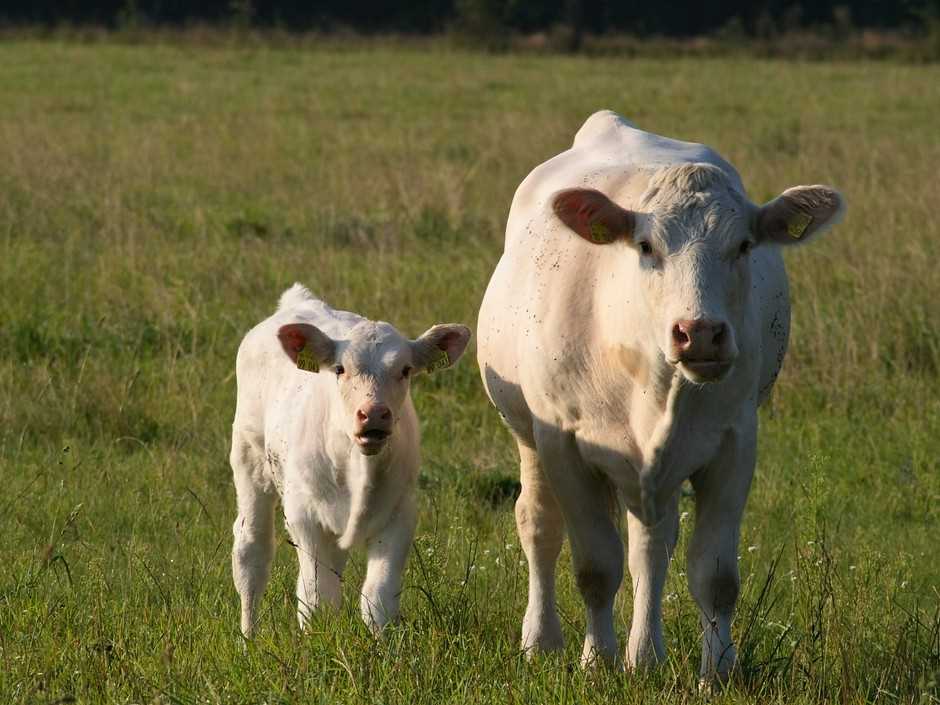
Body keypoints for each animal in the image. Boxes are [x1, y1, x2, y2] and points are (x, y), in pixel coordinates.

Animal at [230, 284, 470, 636]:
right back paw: (249, 637)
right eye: (340, 369)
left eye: (405, 370)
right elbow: (316, 600)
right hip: (250, 461)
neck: (358, 470)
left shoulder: (400, 514)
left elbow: (377, 598)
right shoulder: (305, 517)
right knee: (252, 552)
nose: (373, 413)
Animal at [478, 111, 844, 680]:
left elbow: (714, 574)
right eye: (648, 246)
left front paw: (716, 672)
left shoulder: (734, 442)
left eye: (744, 246)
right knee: (539, 525)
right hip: (528, 435)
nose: (700, 333)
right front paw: (596, 661)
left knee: (652, 546)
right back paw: (543, 640)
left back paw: (646, 656)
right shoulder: (563, 443)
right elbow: (594, 566)